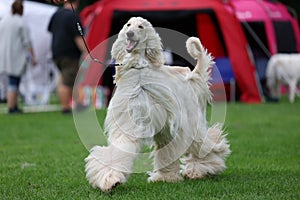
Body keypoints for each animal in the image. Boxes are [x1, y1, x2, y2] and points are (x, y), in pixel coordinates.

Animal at [85, 16, 231, 191]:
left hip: (190, 123)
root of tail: (191, 76)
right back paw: (166, 177)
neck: (138, 73)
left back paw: (199, 170)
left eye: (140, 27)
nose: (129, 33)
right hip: (167, 131)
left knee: (203, 142)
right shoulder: (126, 123)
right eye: (128, 25)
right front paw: (110, 179)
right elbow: (121, 146)